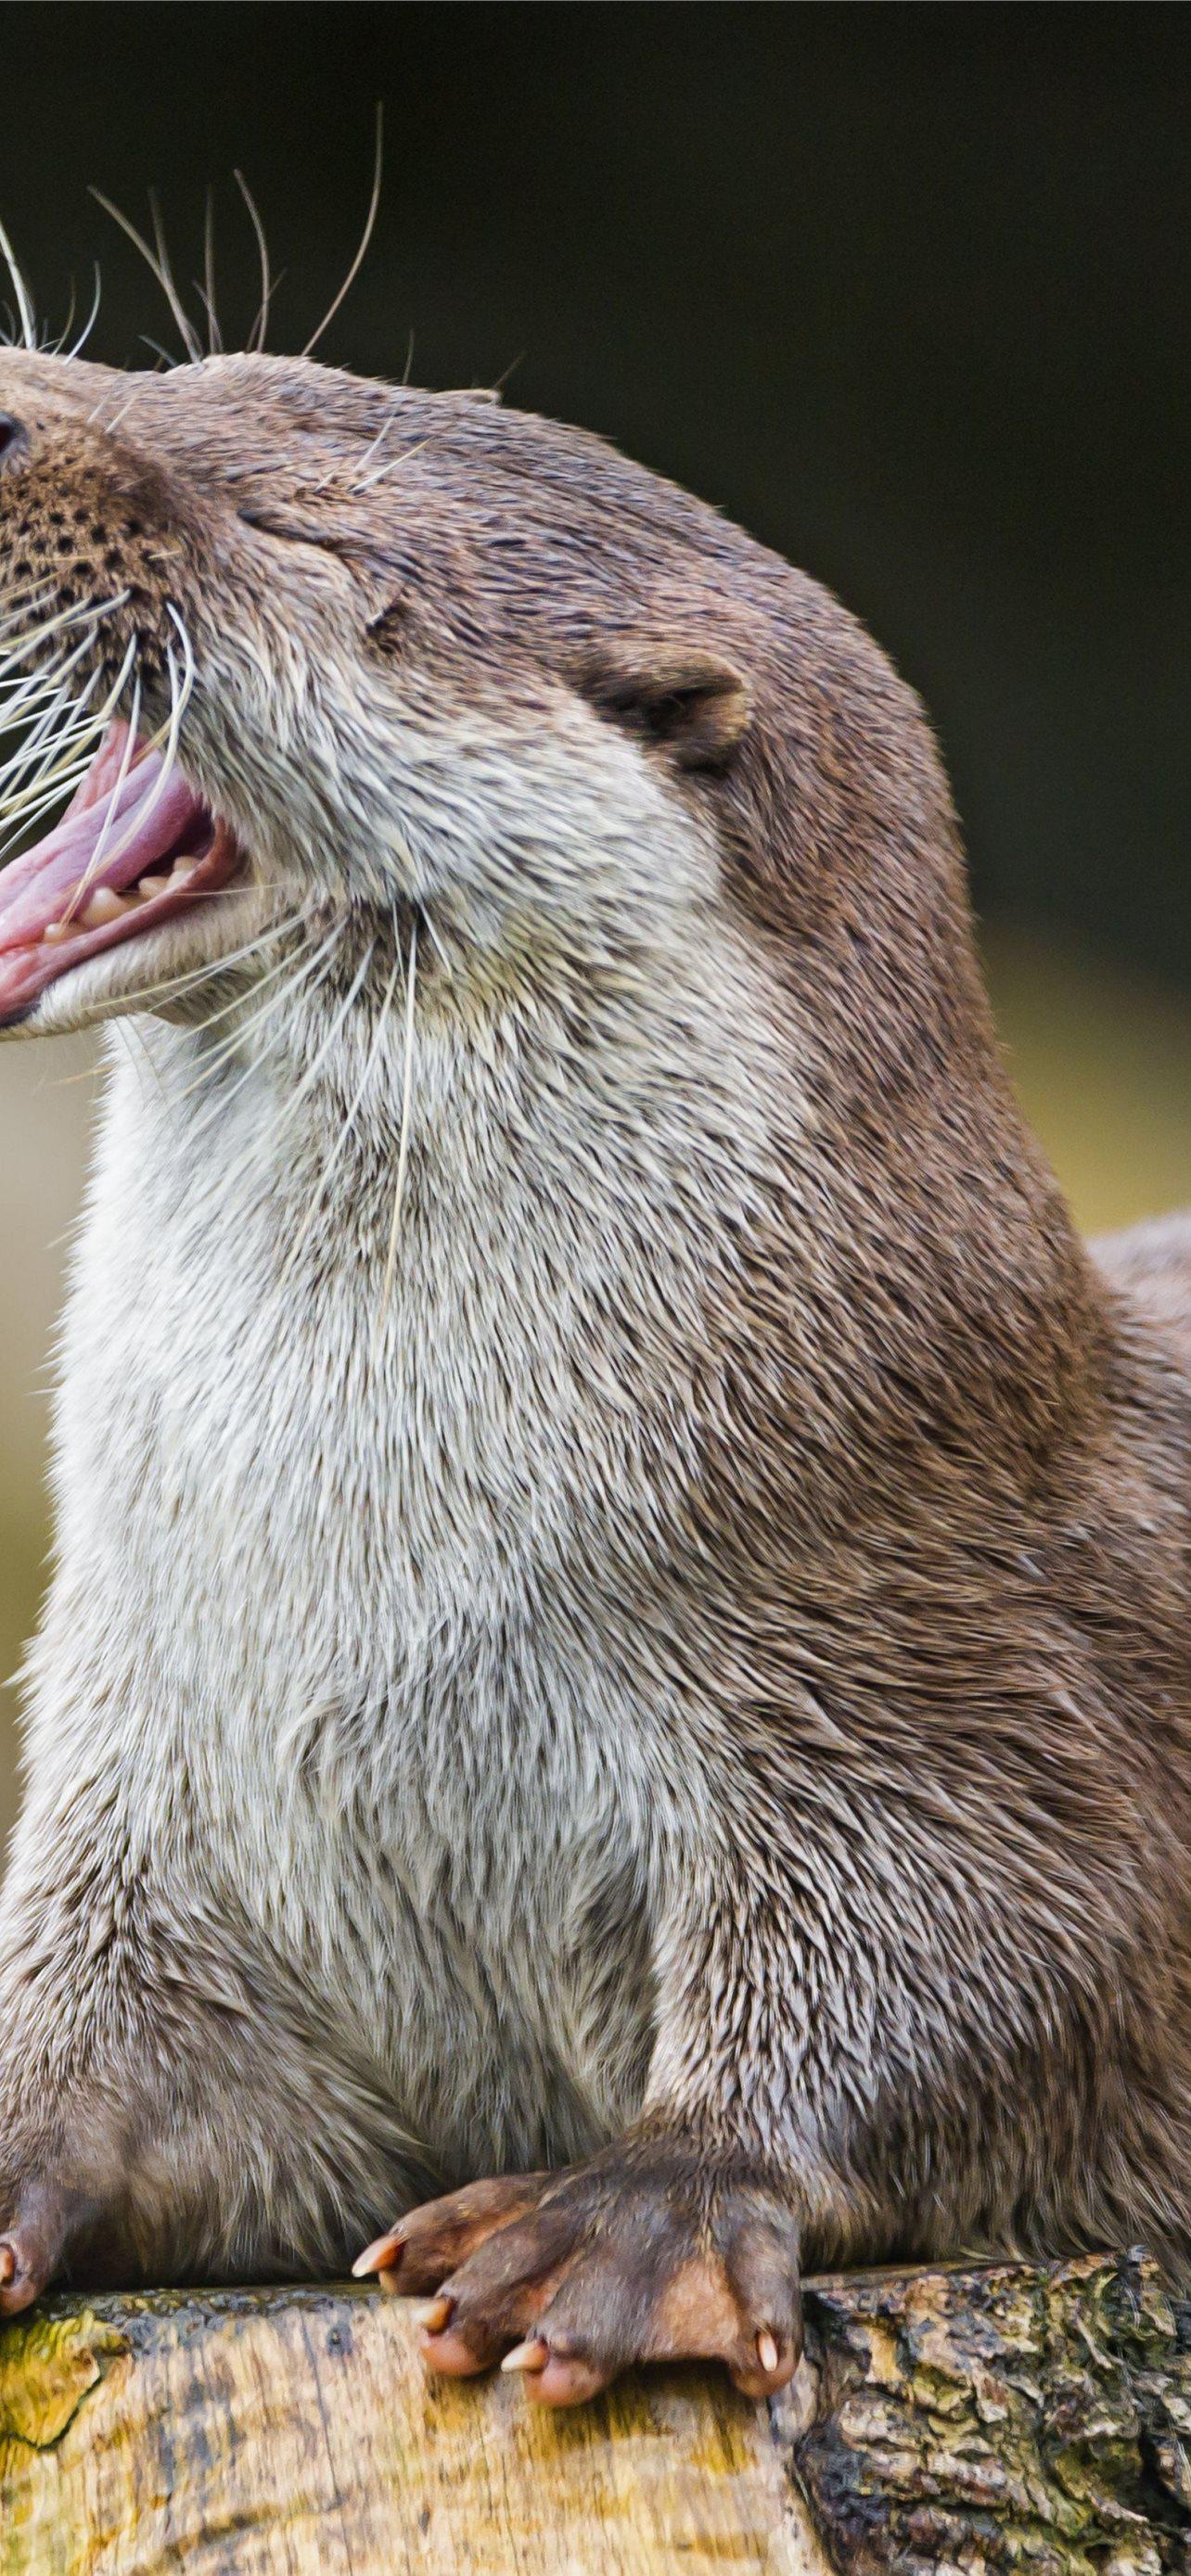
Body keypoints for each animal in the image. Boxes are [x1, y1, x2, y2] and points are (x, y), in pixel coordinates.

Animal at [0, 337, 1187, 2414]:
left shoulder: (937, 1670)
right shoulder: (136, 1761)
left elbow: (1001, 1948)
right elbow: (134, 2073)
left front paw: (641, 2207)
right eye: (200, 373)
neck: (367, 1591)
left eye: (302, 534)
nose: (3, 401)